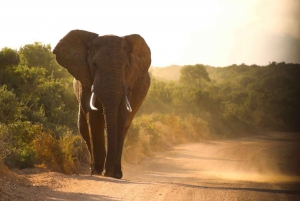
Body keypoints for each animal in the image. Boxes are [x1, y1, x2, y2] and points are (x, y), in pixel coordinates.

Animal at [53, 29, 151, 178]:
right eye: (94, 65)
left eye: (126, 66)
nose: (108, 172)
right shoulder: (86, 81)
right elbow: (92, 118)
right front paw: (99, 172)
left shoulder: (128, 83)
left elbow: (120, 118)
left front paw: (113, 174)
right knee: (83, 127)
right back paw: (94, 170)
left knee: (125, 128)